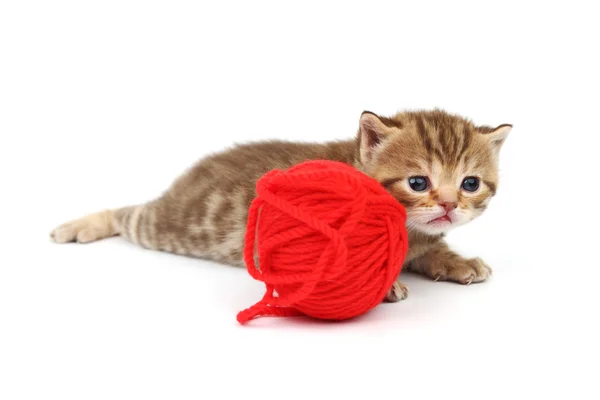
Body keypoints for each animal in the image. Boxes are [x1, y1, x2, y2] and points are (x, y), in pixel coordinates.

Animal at [50, 108, 510, 302]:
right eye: (418, 182)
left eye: (469, 184)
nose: (448, 206)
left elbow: (431, 248)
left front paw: (457, 261)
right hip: (169, 224)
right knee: (128, 214)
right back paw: (79, 226)